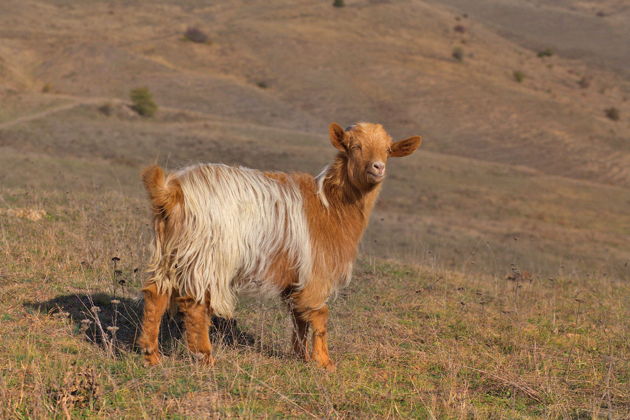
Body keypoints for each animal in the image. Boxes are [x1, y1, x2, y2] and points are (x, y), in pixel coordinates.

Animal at [140, 121, 422, 370]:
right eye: (355, 146)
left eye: (388, 149)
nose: (378, 167)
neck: (331, 205)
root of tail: (172, 190)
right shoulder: (316, 271)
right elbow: (320, 315)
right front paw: (324, 363)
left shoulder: (296, 278)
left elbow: (300, 316)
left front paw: (301, 357)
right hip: (207, 256)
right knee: (195, 303)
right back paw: (206, 358)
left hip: (170, 251)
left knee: (156, 293)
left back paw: (151, 355)